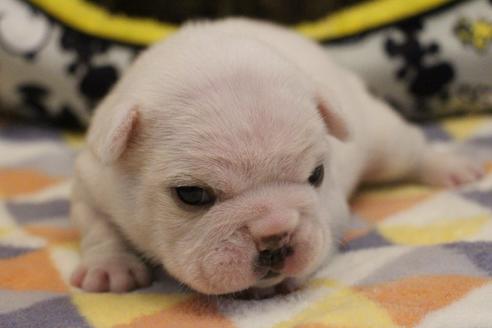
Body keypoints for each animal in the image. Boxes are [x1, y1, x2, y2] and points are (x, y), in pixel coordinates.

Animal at [70, 18, 484, 296]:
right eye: (191, 195)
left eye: (316, 175)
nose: (275, 234)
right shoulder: (92, 181)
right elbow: (98, 225)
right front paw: (110, 267)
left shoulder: (328, 210)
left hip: (382, 137)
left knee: (411, 150)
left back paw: (450, 167)